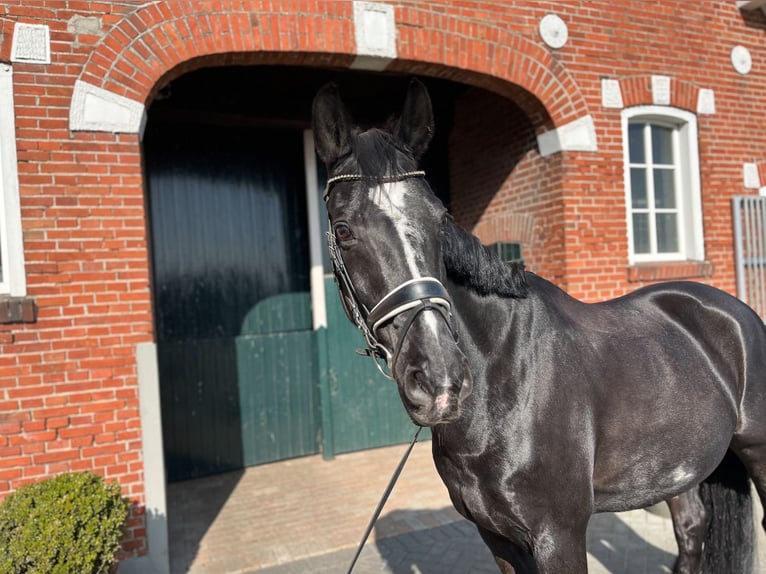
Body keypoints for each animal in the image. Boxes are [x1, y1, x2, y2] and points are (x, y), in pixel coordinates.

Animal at [312, 79, 766, 572]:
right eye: (343, 229)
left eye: (441, 219)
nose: (440, 380)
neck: (504, 383)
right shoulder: (496, 536)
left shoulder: (558, 535)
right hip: (674, 468)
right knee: (690, 527)